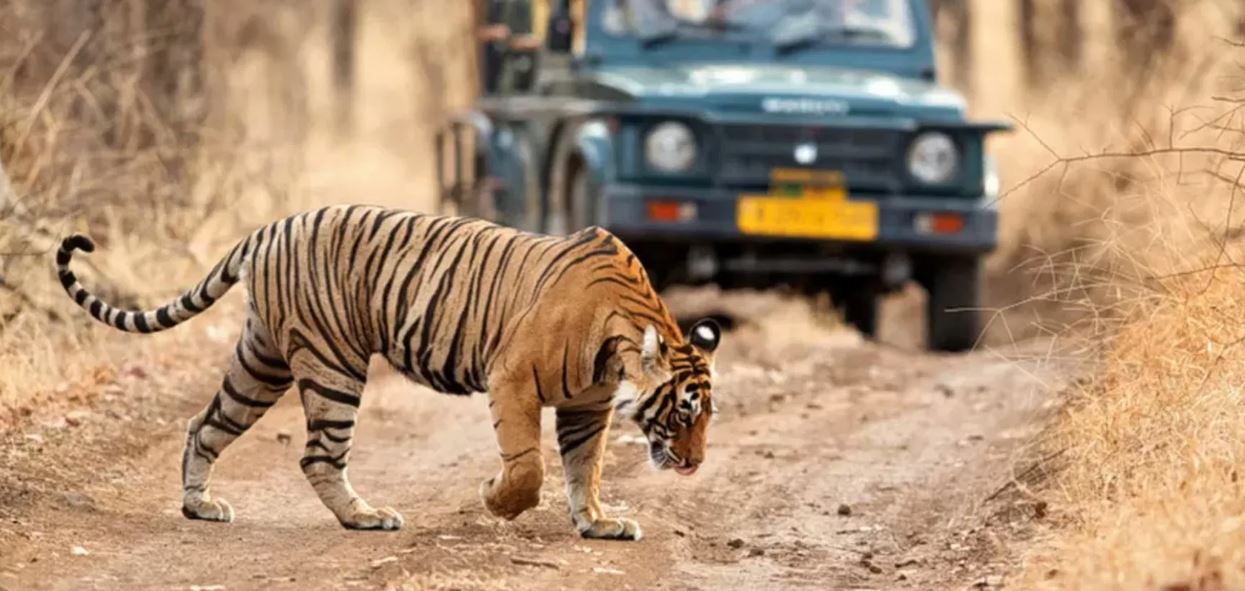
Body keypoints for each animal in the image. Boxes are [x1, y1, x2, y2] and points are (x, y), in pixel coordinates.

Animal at [56, 205, 722, 542]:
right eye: (683, 411)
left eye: (707, 416)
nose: (695, 464)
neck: (619, 341)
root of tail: (269, 228)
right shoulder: (511, 378)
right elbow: (529, 466)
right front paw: (496, 499)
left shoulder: (588, 405)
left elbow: (587, 468)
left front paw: (598, 522)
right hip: (333, 363)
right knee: (318, 456)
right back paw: (365, 517)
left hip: (261, 360)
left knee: (205, 423)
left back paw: (200, 506)